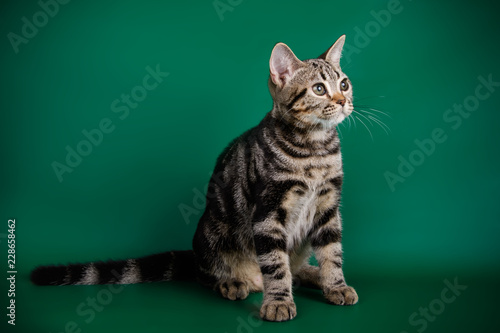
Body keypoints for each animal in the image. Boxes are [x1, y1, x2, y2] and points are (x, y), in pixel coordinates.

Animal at [31, 35, 358, 320]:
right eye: (318, 89)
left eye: (344, 83)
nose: (343, 100)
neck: (314, 150)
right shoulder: (268, 210)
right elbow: (275, 264)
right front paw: (278, 301)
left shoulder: (329, 205)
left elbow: (332, 252)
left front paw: (335, 285)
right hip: (212, 234)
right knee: (208, 274)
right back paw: (232, 283)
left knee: (295, 265)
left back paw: (310, 274)